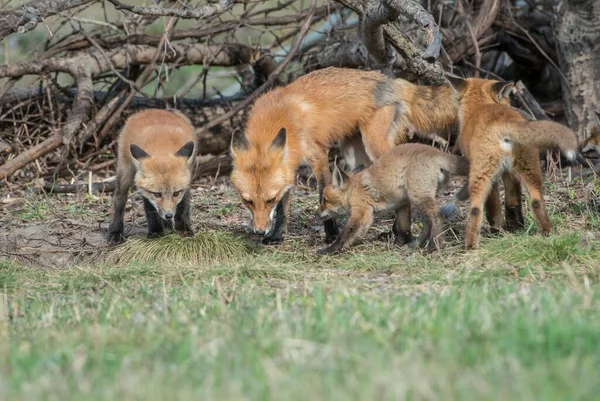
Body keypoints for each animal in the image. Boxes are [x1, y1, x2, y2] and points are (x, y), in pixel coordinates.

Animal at [106, 108, 198, 244]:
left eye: (176, 193)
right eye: (157, 194)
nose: (169, 215)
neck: (163, 147)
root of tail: (151, 109)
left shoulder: (187, 179)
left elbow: (183, 206)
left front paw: (184, 229)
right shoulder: (146, 192)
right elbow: (151, 211)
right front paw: (156, 233)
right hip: (125, 172)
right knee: (119, 200)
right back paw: (116, 231)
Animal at [230, 67, 460, 242]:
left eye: (269, 200)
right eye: (247, 201)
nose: (259, 231)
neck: (281, 118)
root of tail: (394, 82)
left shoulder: (318, 155)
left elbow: (322, 190)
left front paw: (331, 234)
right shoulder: (289, 165)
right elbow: (283, 207)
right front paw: (277, 235)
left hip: (374, 144)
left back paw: (399, 230)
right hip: (353, 154)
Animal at [316, 142, 472, 252]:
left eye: (324, 200)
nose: (317, 213)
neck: (353, 190)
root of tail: (436, 152)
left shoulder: (361, 211)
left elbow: (345, 234)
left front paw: (329, 250)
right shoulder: (400, 205)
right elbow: (403, 228)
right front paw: (399, 244)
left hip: (419, 197)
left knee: (437, 218)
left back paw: (434, 246)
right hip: (419, 199)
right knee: (427, 224)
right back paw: (415, 245)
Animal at [450, 76, 580, 248]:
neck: (479, 108)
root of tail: (502, 122)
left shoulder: (492, 176)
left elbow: (493, 206)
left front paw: (498, 230)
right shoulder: (509, 172)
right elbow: (513, 200)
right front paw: (515, 226)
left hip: (481, 173)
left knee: (475, 210)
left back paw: (470, 247)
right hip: (530, 167)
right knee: (537, 202)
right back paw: (547, 233)